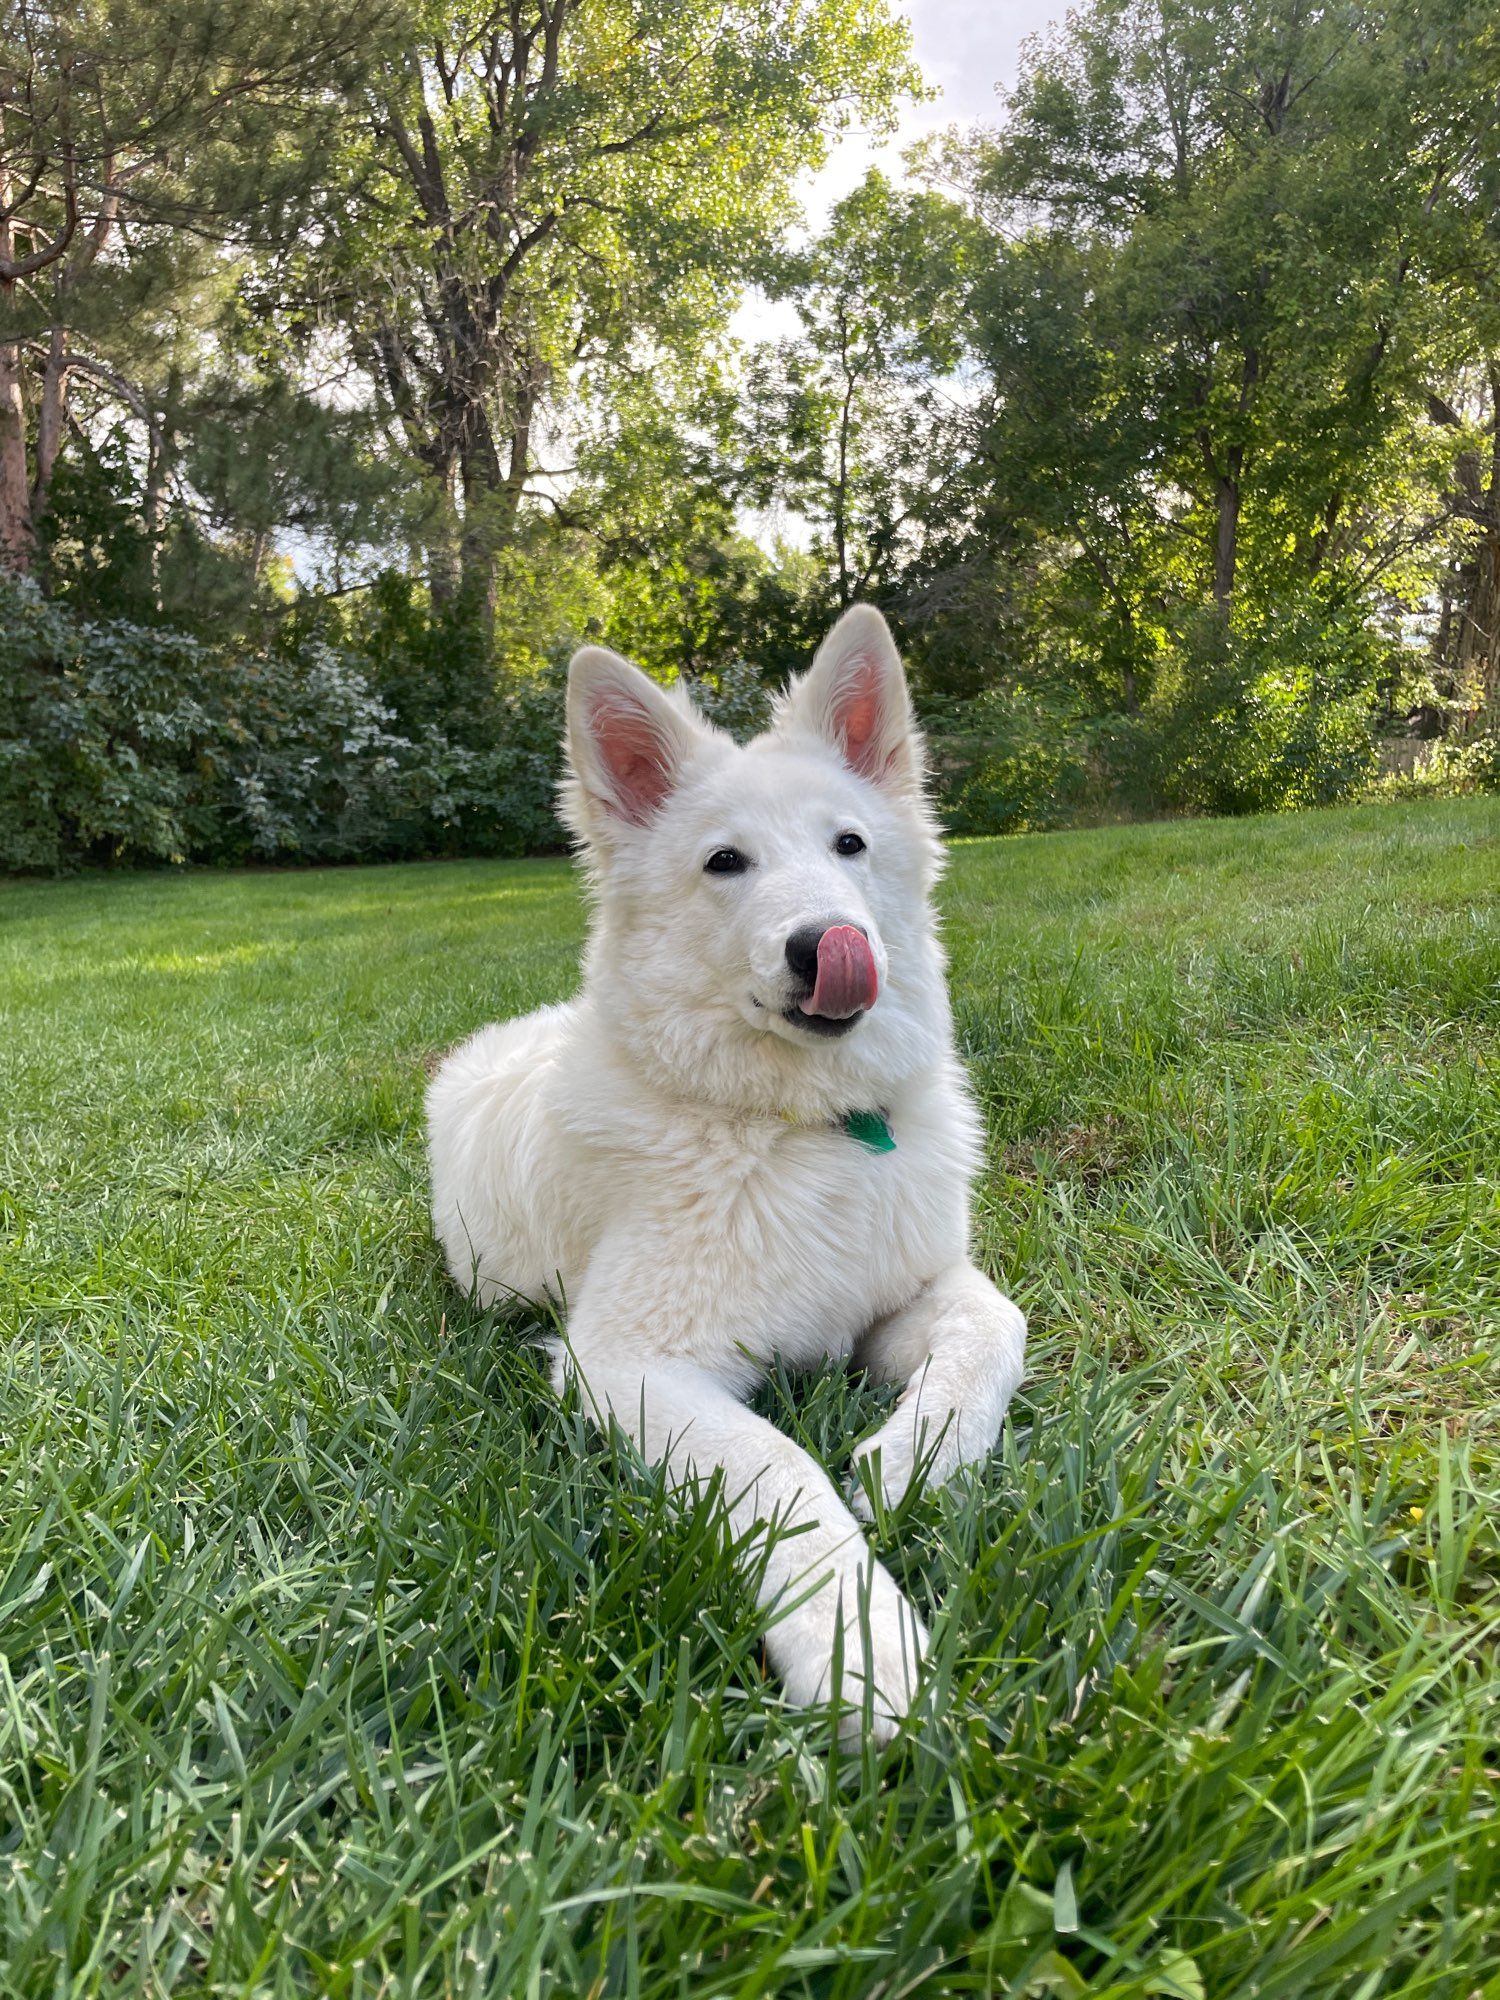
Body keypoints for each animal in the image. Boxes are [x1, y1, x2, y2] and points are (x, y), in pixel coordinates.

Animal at [428, 604, 1032, 1736]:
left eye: (849, 843)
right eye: (724, 862)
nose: (827, 943)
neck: (803, 1127)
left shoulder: (904, 1295)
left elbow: (996, 1331)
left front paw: (912, 1459)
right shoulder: (627, 1363)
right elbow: (779, 1466)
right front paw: (858, 1645)